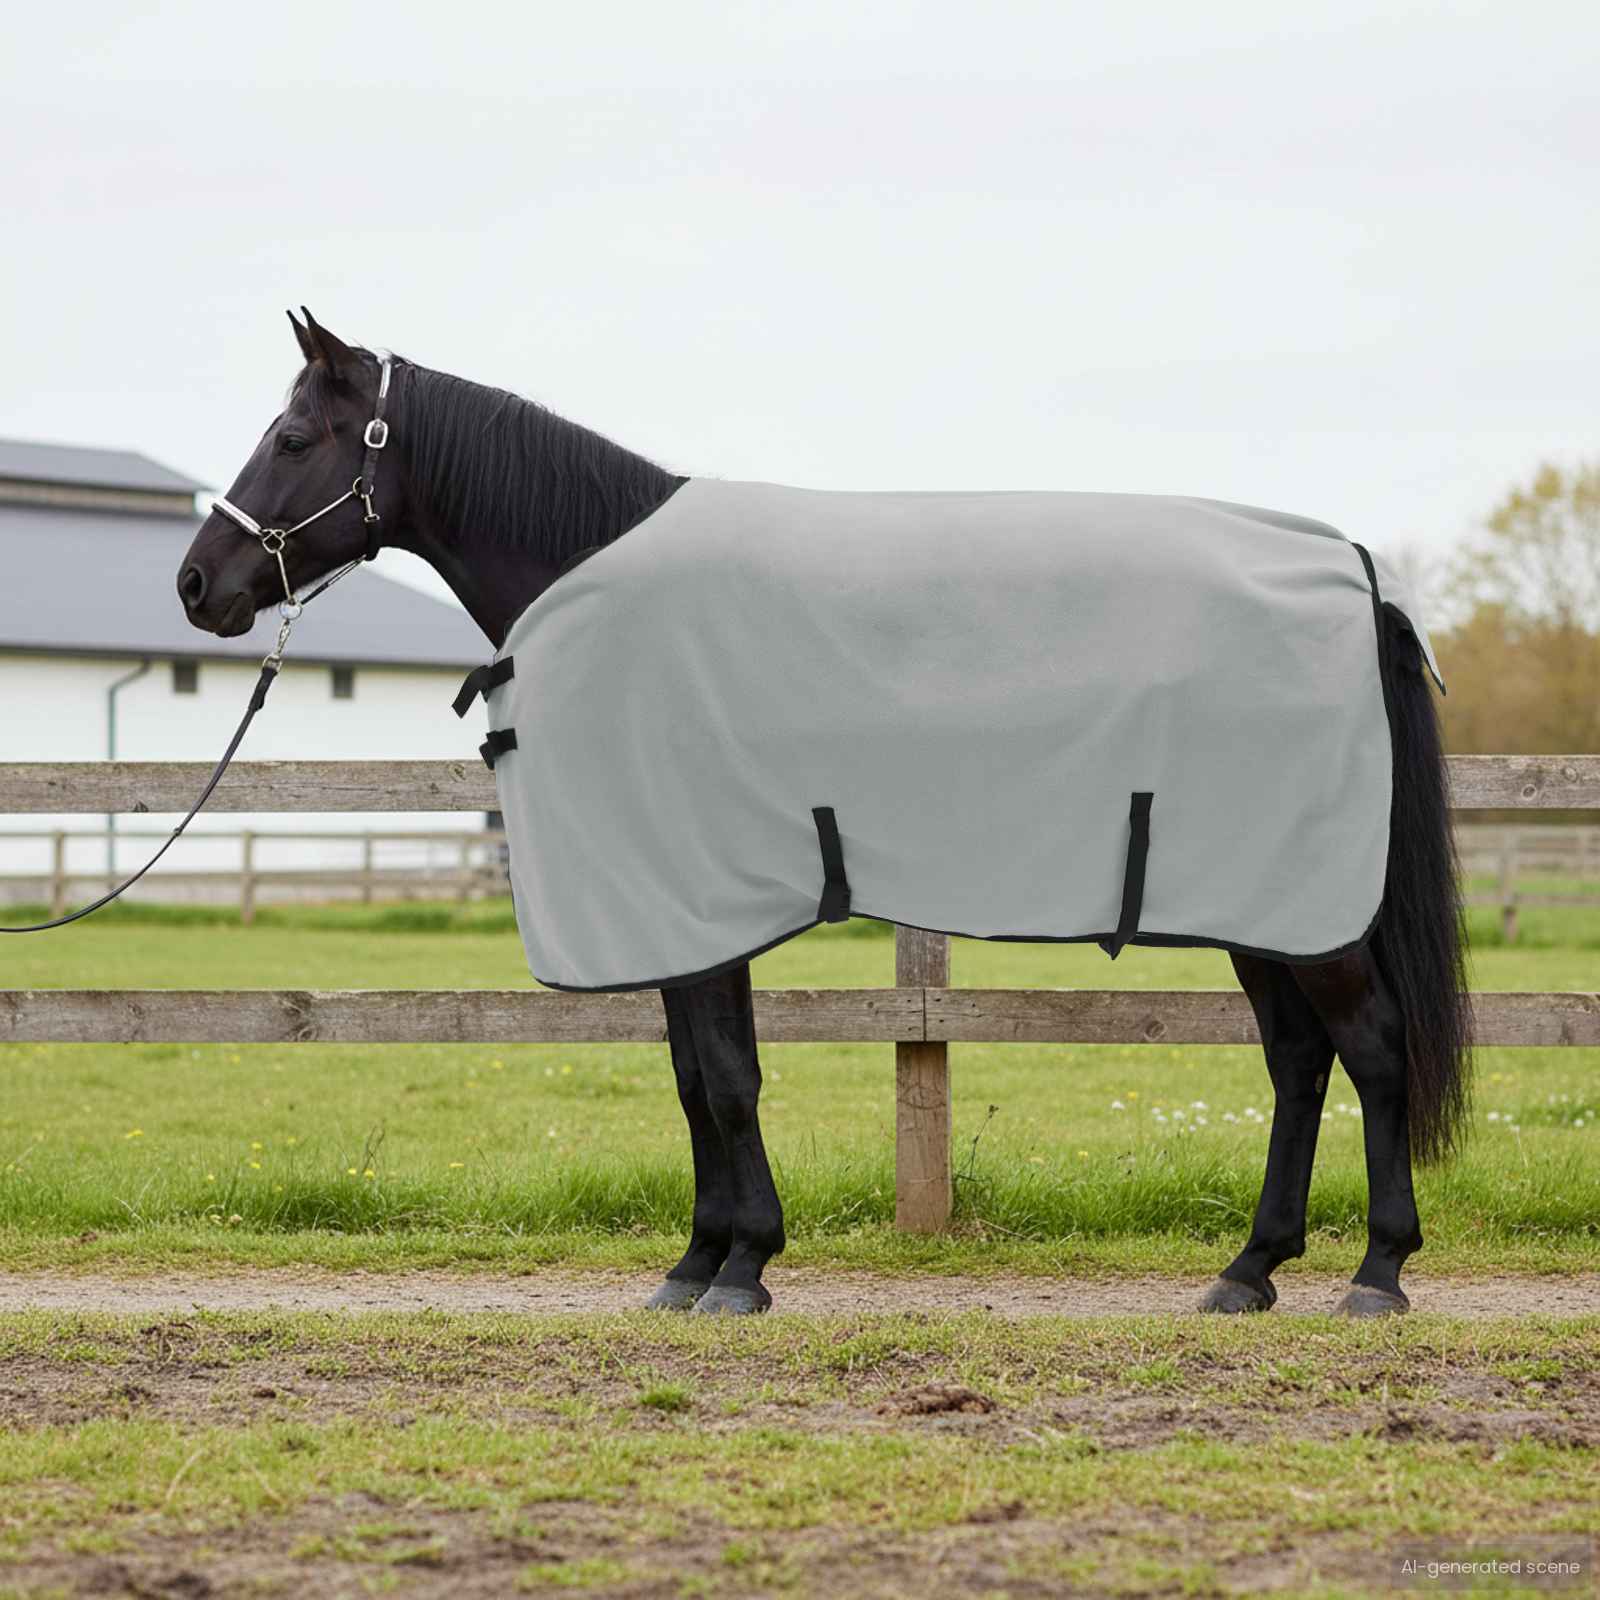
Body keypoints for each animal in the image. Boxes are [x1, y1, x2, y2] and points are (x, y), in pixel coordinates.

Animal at [177, 309, 1471, 1317]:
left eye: (292, 438)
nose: (197, 584)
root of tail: (1354, 575)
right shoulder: (683, 910)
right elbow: (697, 1076)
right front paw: (700, 1261)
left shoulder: (696, 902)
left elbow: (725, 1078)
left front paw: (740, 1266)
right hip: (1261, 903)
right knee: (1298, 1060)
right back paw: (1249, 1269)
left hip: (1305, 907)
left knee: (1372, 1048)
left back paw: (1377, 1272)